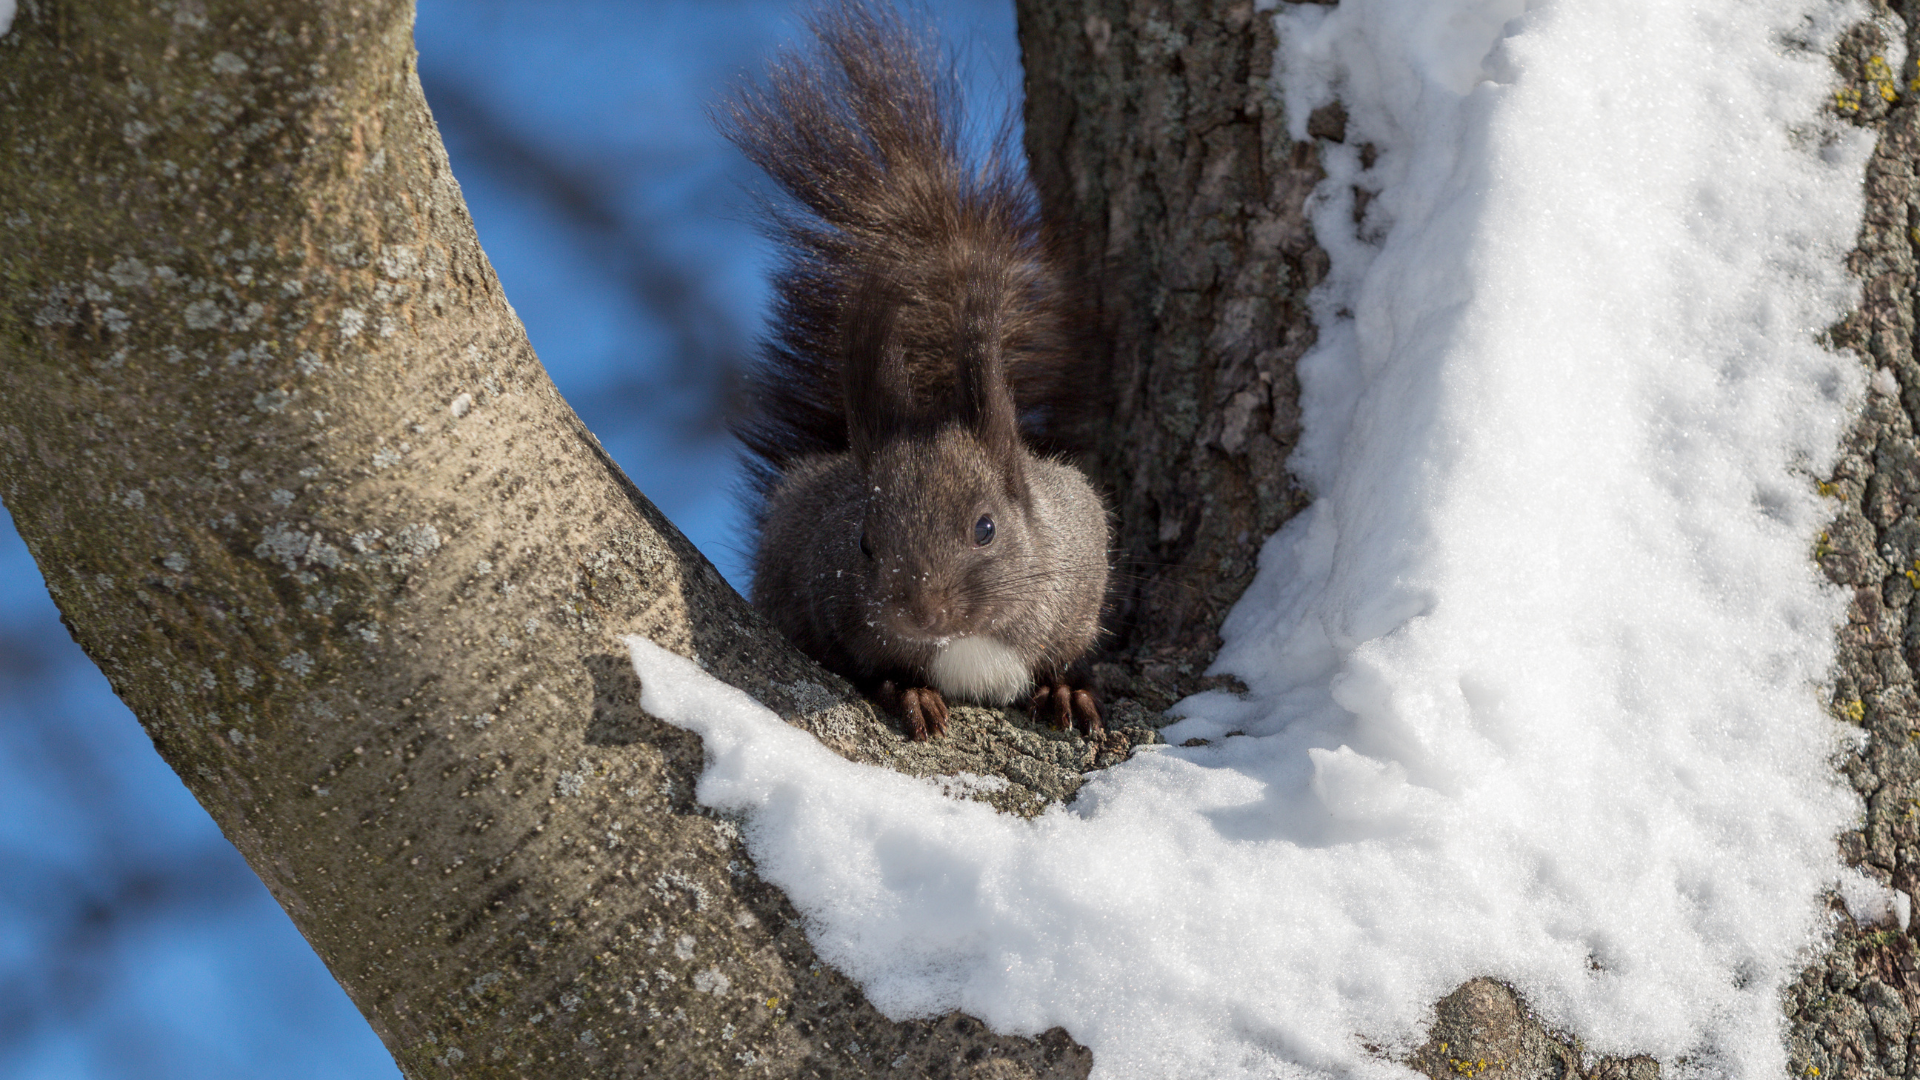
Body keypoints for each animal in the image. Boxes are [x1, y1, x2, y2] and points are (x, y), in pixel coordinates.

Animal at [719, 1, 1109, 741]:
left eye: (986, 528)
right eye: (865, 543)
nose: (920, 615)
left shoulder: (1083, 560)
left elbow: (1065, 653)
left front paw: (1067, 690)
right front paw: (910, 692)